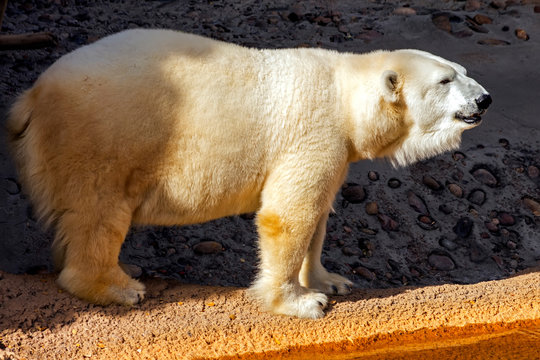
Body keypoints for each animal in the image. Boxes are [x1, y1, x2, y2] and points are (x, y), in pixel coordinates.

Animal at [6, 28, 492, 318]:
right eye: (446, 81)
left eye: (463, 71)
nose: (485, 99)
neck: (344, 94)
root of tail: (32, 96)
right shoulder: (313, 132)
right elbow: (289, 215)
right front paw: (302, 302)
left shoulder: (335, 150)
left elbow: (318, 215)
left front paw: (331, 281)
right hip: (102, 136)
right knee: (99, 209)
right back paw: (118, 286)